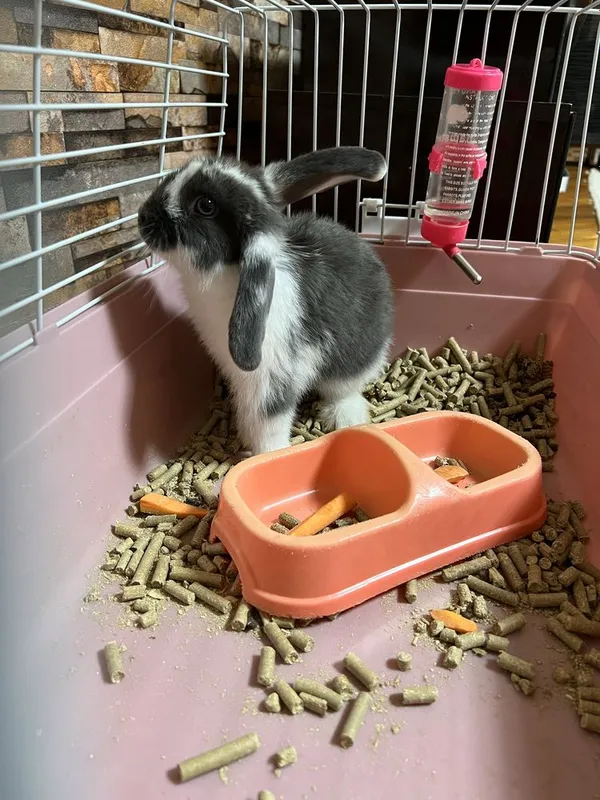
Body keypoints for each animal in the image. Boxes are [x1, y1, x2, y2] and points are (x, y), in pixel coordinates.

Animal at [138, 147, 394, 455]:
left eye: (205, 205)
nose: (142, 217)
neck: (228, 273)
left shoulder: (271, 379)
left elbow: (268, 422)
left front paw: (265, 454)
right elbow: (249, 416)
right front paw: (245, 440)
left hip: (352, 363)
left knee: (344, 390)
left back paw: (344, 417)